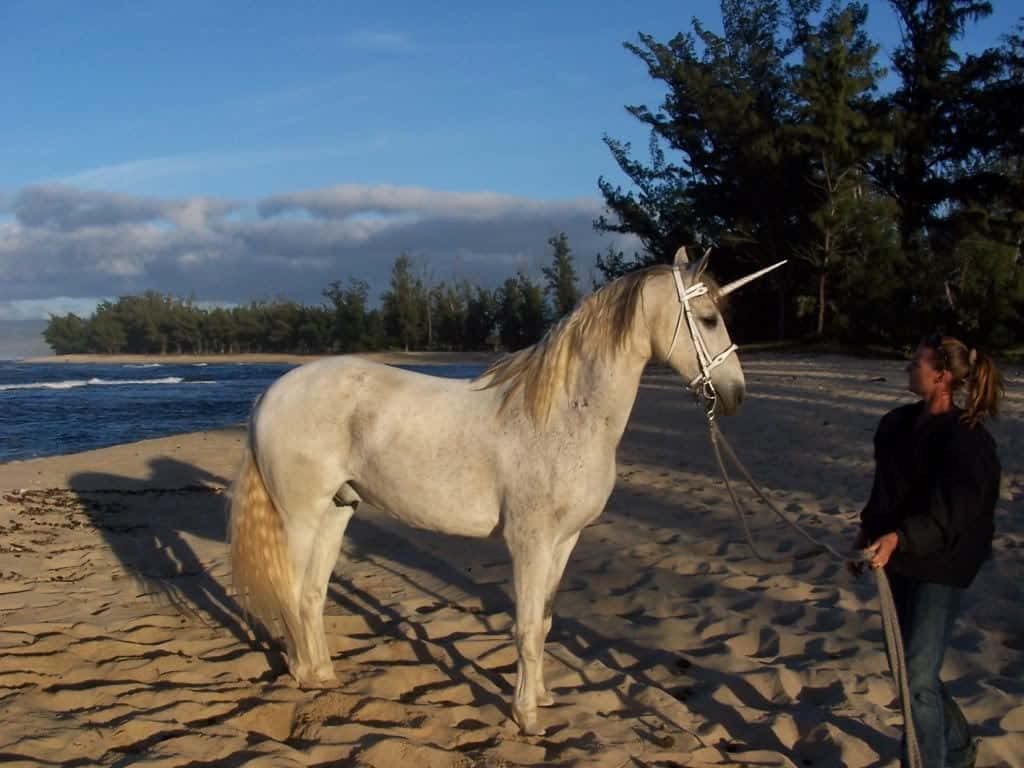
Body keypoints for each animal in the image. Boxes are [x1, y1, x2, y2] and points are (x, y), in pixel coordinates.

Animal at [228, 249, 778, 737]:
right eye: (708, 318)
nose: (735, 396)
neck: (564, 415)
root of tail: (270, 393)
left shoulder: (564, 543)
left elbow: (546, 623)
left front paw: (542, 698)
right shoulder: (529, 544)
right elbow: (526, 629)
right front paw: (527, 718)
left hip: (337, 512)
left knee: (312, 595)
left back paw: (324, 674)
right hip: (300, 518)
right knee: (290, 590)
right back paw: (304, 675)